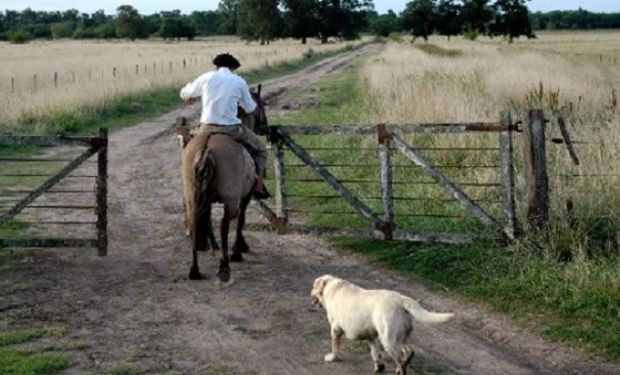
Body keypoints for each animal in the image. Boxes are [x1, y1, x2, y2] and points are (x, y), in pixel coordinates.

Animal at [177, 85, 268, 284]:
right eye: (261, 105)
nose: (265, 126)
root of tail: (206, 150)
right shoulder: (244, 197)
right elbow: (241, 220)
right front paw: (238, 250)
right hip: (230, 200)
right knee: (224, 225)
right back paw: (224, 266)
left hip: (192, 196)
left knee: (194, 222)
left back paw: (195, 270)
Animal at [314, 274, 450, 374]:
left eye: (314, 286)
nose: (311, 292)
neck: (332, 288)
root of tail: (401, 299)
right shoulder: (372, 337)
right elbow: (376, 354)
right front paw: (379, 368)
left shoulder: (335, 330)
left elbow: (335, 348)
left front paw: (332, 358)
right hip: (399, 337)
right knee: (408, 352)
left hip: (388, 340)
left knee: (400, 360)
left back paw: (400, 370)